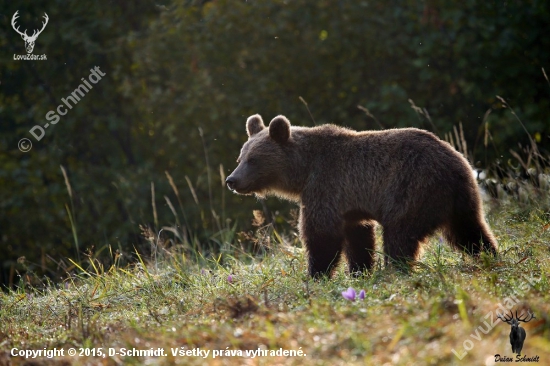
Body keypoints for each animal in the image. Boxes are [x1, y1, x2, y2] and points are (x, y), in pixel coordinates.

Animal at [226, 114, 498, 278]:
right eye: (240, 158)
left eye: (254, 160)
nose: (232, 180)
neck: (303, 171)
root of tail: (455, 164)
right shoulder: (349, 205)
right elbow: (358, 238)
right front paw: (358, 270)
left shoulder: (326, 186)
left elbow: (321, 235)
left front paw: (316, 274)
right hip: (460, 199)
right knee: (469, 231)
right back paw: (490, 254)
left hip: (412, 189)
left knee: (400, 235)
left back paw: (395, 270)